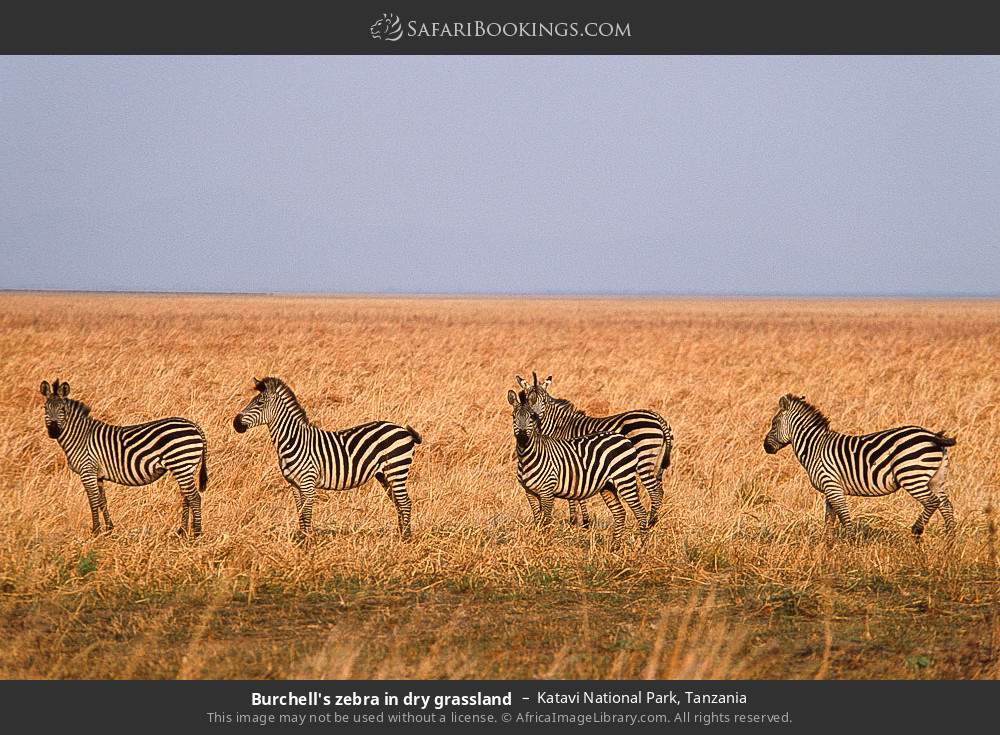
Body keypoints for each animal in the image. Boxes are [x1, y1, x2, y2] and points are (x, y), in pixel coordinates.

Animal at [40, 379, 208, 537]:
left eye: (62, 409)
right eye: (45, 408)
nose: (53, 431)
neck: (80, 436)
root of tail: (194, 425)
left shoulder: (87, 470)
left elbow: (93, 500)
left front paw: (96, 531)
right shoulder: (98, 474)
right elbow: (102, 501)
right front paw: (109, 529)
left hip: (181, 464)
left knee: (194, 498)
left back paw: (197, 534)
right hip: (185, 468)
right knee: (186, 497)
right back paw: (182, 531)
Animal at [233, 377, 422, 539]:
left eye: (259, 403)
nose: (235, 423)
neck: (293, 440)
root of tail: (403, 430)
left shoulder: (307, 483)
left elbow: (307, 513)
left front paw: (307, 542)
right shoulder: (294, 485)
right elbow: (300, 512)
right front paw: (302, 539)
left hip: (397, 469)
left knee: (405, 502)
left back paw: (406, 538)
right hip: (384, 474)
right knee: (398, 502)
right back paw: (400, 534)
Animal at [508, 389, 648, 547]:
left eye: (532, 417)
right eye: (513, 416)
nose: (523, 439)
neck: (527, 457)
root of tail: (624, 438)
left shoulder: (547, 491)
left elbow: (546, 520)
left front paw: (545, 542)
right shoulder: (530, 492)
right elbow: (538, 519)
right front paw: (537, 540)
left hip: (624, 479)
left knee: (640, 512)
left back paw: (641, 547)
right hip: (608, 485)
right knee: (619, 513)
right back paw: (614, 547)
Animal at [515, 372, 672, 528]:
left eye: (544, 401)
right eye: (528, 400)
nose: (535, 418)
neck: (559, 426)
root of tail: (657, 418)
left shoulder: (569, 459)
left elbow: (574, 493)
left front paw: (576, 522)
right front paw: (583, 521)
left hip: (644, 459)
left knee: (654, 492)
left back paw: (651, 523)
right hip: (656, 462)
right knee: (660, 490)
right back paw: (654, 520)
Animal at [763, 394, 957, 540]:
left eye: (773, 424)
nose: (765, 447)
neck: (815, 447)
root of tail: (933, 436)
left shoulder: (832, 485)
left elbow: (843, 516)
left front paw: (850, 543)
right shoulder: (830, 488)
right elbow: (829, 519)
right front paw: (826, 546)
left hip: (911, 475)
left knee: (933, 502)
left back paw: (917, 530)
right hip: (935, 479)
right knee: (946, 505)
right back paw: (950, 541)